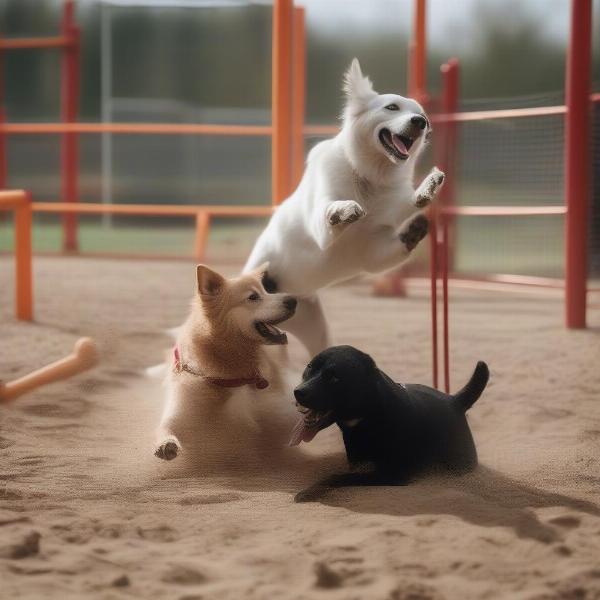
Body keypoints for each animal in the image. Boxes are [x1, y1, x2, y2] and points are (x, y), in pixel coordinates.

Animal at [244, 59, 446, 356]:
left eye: (422, 115)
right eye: (392, 107)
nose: (420, 123)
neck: (367, 177)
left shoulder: (373, 248)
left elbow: (407, 211)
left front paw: (426, 195)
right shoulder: (322, 229)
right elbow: (331, 212)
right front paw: (346, 210)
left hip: (313, 326)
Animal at [288, 344, 490, 500]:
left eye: (334, 377)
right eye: (309, 367)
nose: (298, 392)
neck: (370, 415)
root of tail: (455, 400)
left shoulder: (391, 474)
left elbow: (335, 477)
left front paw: (309, 491)